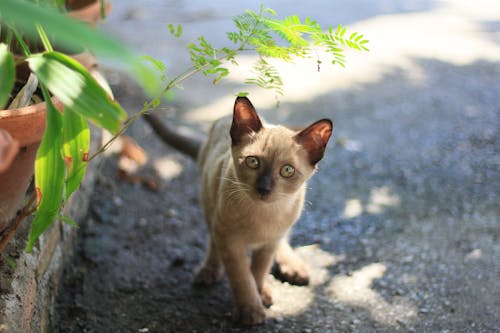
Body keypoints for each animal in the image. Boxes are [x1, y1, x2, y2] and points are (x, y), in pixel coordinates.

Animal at [191, 96, 332, 324]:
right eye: (253, 162)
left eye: (287, 170)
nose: (263, 189)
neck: (264, 216)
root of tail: (223, 118)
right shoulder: (230, 241)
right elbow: (242, 277)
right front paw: (250, 310)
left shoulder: (269, 243)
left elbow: (257, 272)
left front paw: (258, 297)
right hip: (209, 204)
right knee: (213, 241)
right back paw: (208, 271)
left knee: (281, 244)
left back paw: (290, 270)